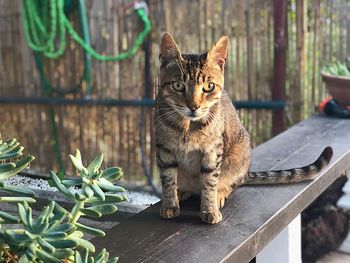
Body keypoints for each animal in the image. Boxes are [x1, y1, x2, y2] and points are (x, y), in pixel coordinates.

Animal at [156, 32, 334, 224]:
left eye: (209, 87)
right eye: (178, 85)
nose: (194, 106)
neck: (187, 127)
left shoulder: (213, 151)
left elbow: (210, 182)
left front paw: (209, 208)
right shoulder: (164, 150)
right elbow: (168, 180)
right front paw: (170, 204)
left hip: (236, 160)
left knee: (229, 184)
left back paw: (219, 194)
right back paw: (182, 190)